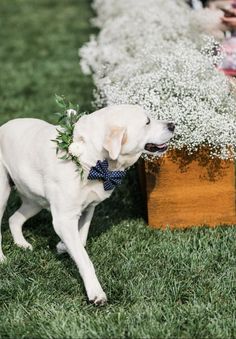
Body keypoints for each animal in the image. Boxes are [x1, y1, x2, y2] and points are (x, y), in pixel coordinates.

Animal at [0, 104, 173, 306]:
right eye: (147, 122)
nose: (173, 125)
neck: (92, 162)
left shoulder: (88, 209)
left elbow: (81, 240)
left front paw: (63, 246)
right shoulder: (63, 219)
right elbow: (85, 260)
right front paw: (95, 292)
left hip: (34, 201)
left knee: (14, 219)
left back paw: (21, 243)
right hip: (3, 194)